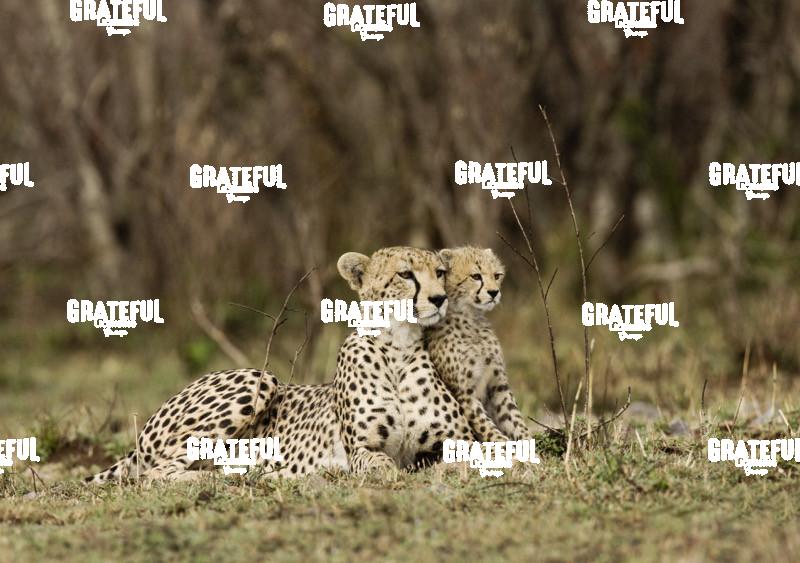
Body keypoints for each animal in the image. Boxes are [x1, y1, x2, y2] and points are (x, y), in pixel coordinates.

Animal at [86, 246, 473, 483]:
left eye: (440, 272)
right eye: (406, 274)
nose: (439, 298)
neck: (398, 347)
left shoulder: (456, 440)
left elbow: (464, 456)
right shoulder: (362, 449)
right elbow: (380, 463)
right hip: (257, 378)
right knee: (155, 473)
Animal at [426, 246, 532, 443]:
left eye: (497, 275)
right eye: (476, 276)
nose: (494, 292)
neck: (471, 319)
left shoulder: (498, 385)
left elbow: (514, 417)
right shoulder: (465, 393)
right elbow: (486, 425)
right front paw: (504, 445)